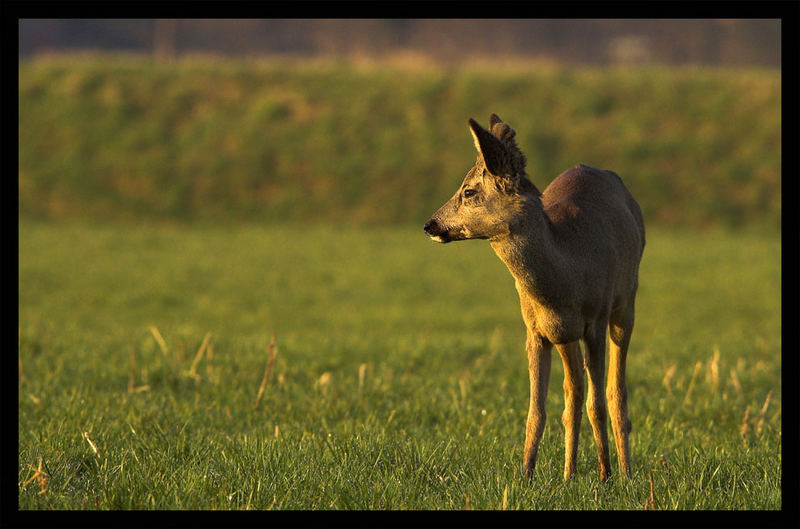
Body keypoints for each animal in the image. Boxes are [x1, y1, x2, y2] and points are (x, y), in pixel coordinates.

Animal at [424, 113, 644, 480]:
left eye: (468, 191)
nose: (430, 224)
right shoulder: (536, 330)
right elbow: (537, 410)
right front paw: (526, 475)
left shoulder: (596, 320)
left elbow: (597, 403)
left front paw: (606, 476)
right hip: (566, 337)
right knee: (574, 391)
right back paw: (570, 473)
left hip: (625, 305)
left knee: (615, 392)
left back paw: (624, 472)